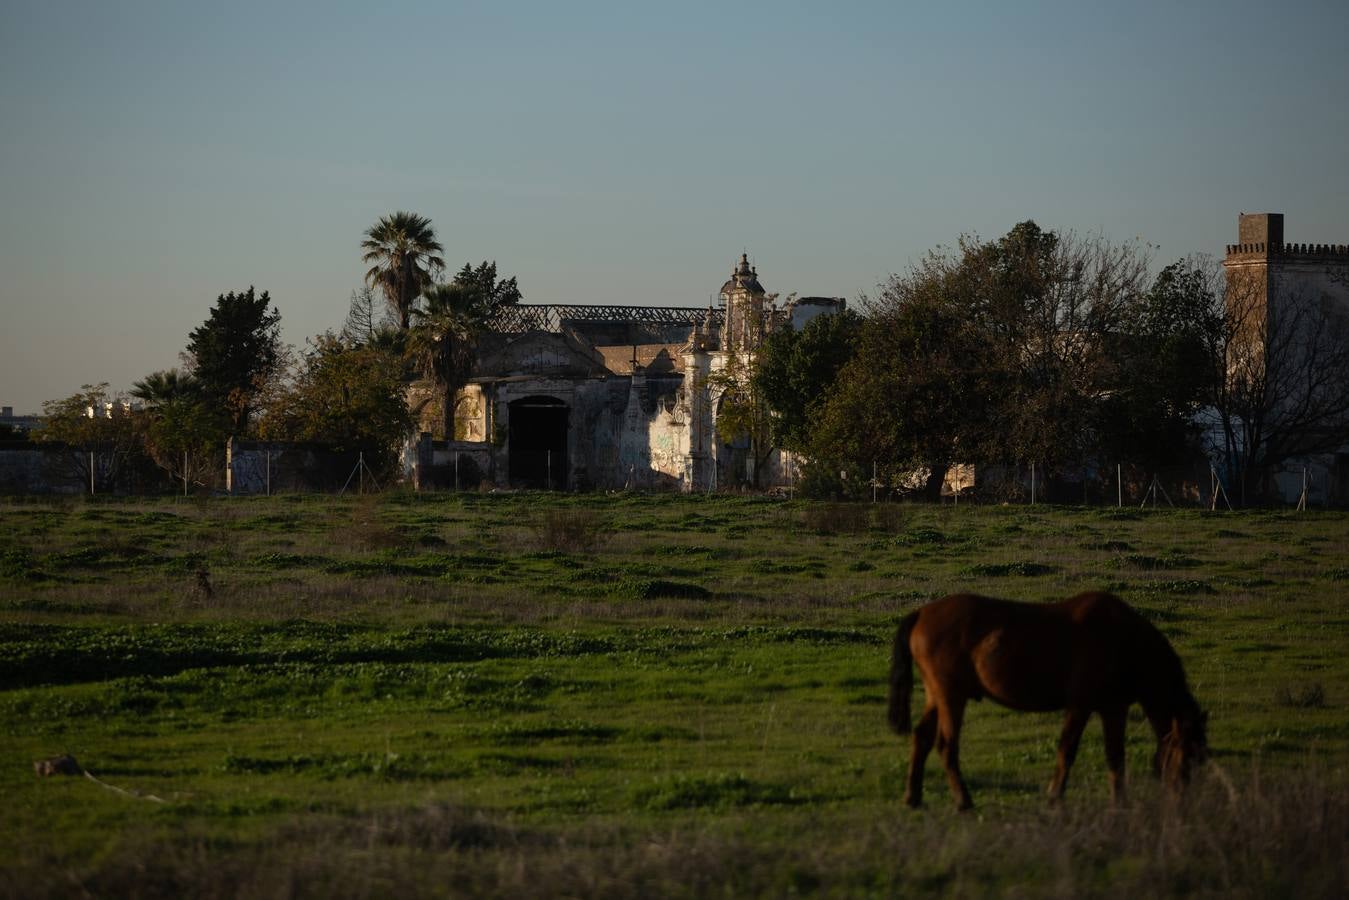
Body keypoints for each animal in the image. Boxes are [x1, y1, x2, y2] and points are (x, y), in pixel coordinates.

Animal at [890, 591, 1208, 809]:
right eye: (1188, 755)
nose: (1185, 800)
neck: (1125, 641)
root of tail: (921, 613)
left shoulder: (1114, 708)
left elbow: (1115, 757)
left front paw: (1120, 802)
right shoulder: (1080, 705)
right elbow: (1067, 750)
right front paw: (1055, 796)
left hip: (936, 695)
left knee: (921, 738)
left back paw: (912, 797)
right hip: (951, 697)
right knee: (946, 746)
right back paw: (963, 800)